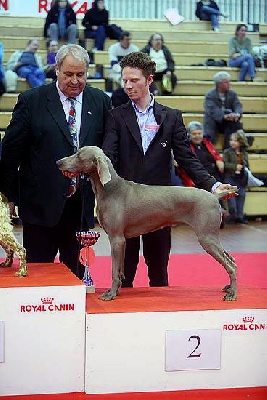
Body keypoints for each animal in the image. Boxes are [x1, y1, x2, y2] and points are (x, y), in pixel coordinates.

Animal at [57, 145, 238, 302]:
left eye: (79, 155)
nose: (58, 162)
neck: (110, 189)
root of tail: (214, 196)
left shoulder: (116, 239)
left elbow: (114, 271)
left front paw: (110, 295)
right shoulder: (122, 241)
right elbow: (120, 269)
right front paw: (116, 290)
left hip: (206, 236)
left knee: (231, 265)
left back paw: (232, 295)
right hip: (211, 237)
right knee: (232, 260)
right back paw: (229, 288)